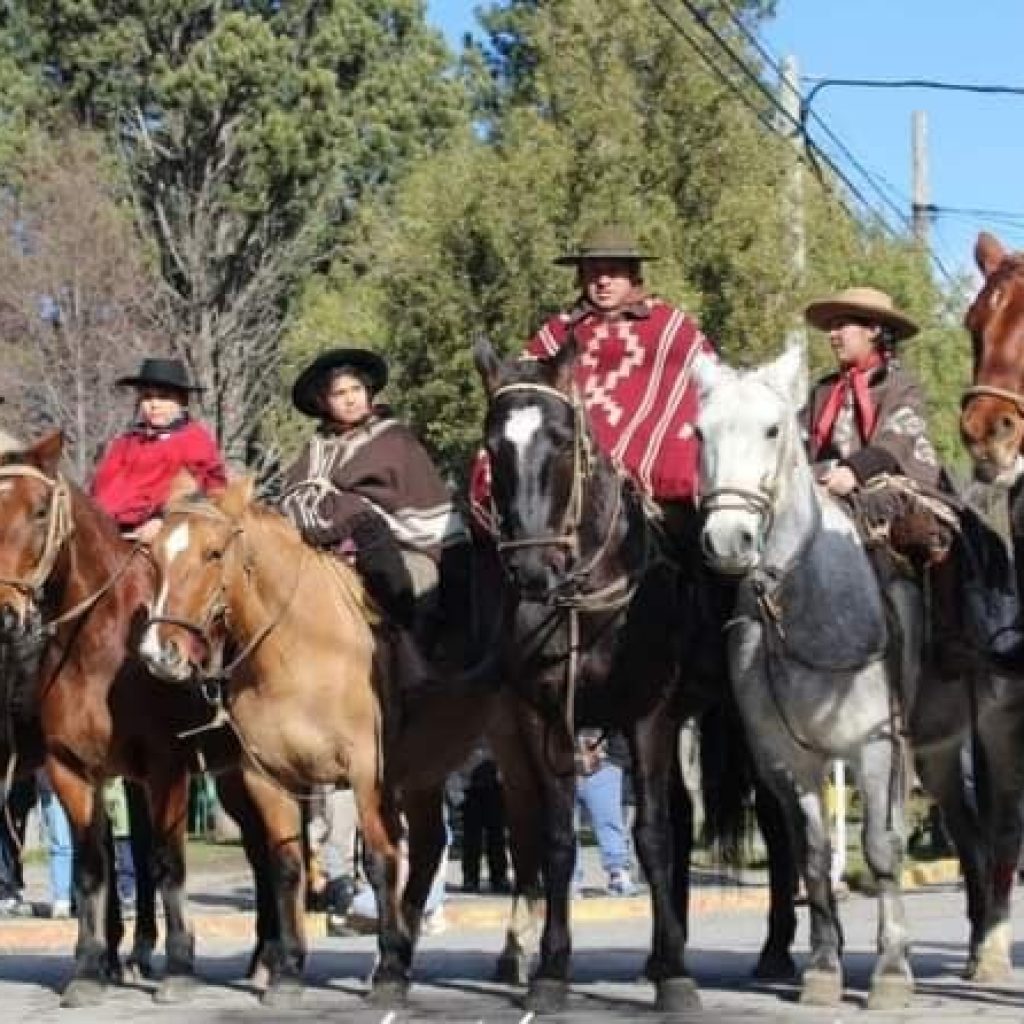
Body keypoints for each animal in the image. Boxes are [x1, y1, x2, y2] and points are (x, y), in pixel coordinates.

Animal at [696, 344, 921, 1007]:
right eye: (700, 432)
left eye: (774, 430)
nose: (729, 539)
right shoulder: (791, 757)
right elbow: (815, 855)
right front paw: (823, 967)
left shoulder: (875, 745)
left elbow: (879, 846)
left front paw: (891, 972)